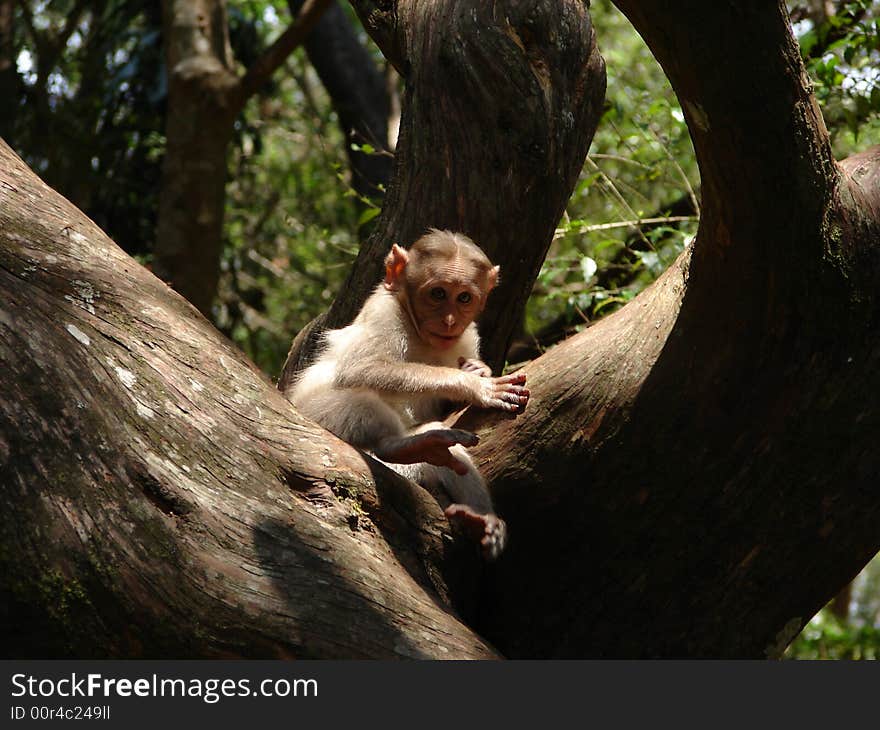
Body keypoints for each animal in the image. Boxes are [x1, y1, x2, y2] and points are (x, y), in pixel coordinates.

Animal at [286, 228, 524, 556]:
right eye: (438, 294)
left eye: (463, 298)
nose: (449, 321)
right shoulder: (383, 311)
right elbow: (361, 368)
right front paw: (473, 384)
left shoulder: (468, 336)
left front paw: (478, 370)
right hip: (317, 417)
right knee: (360, 402)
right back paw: (399, 444)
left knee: (452, 454)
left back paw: (478, 519)